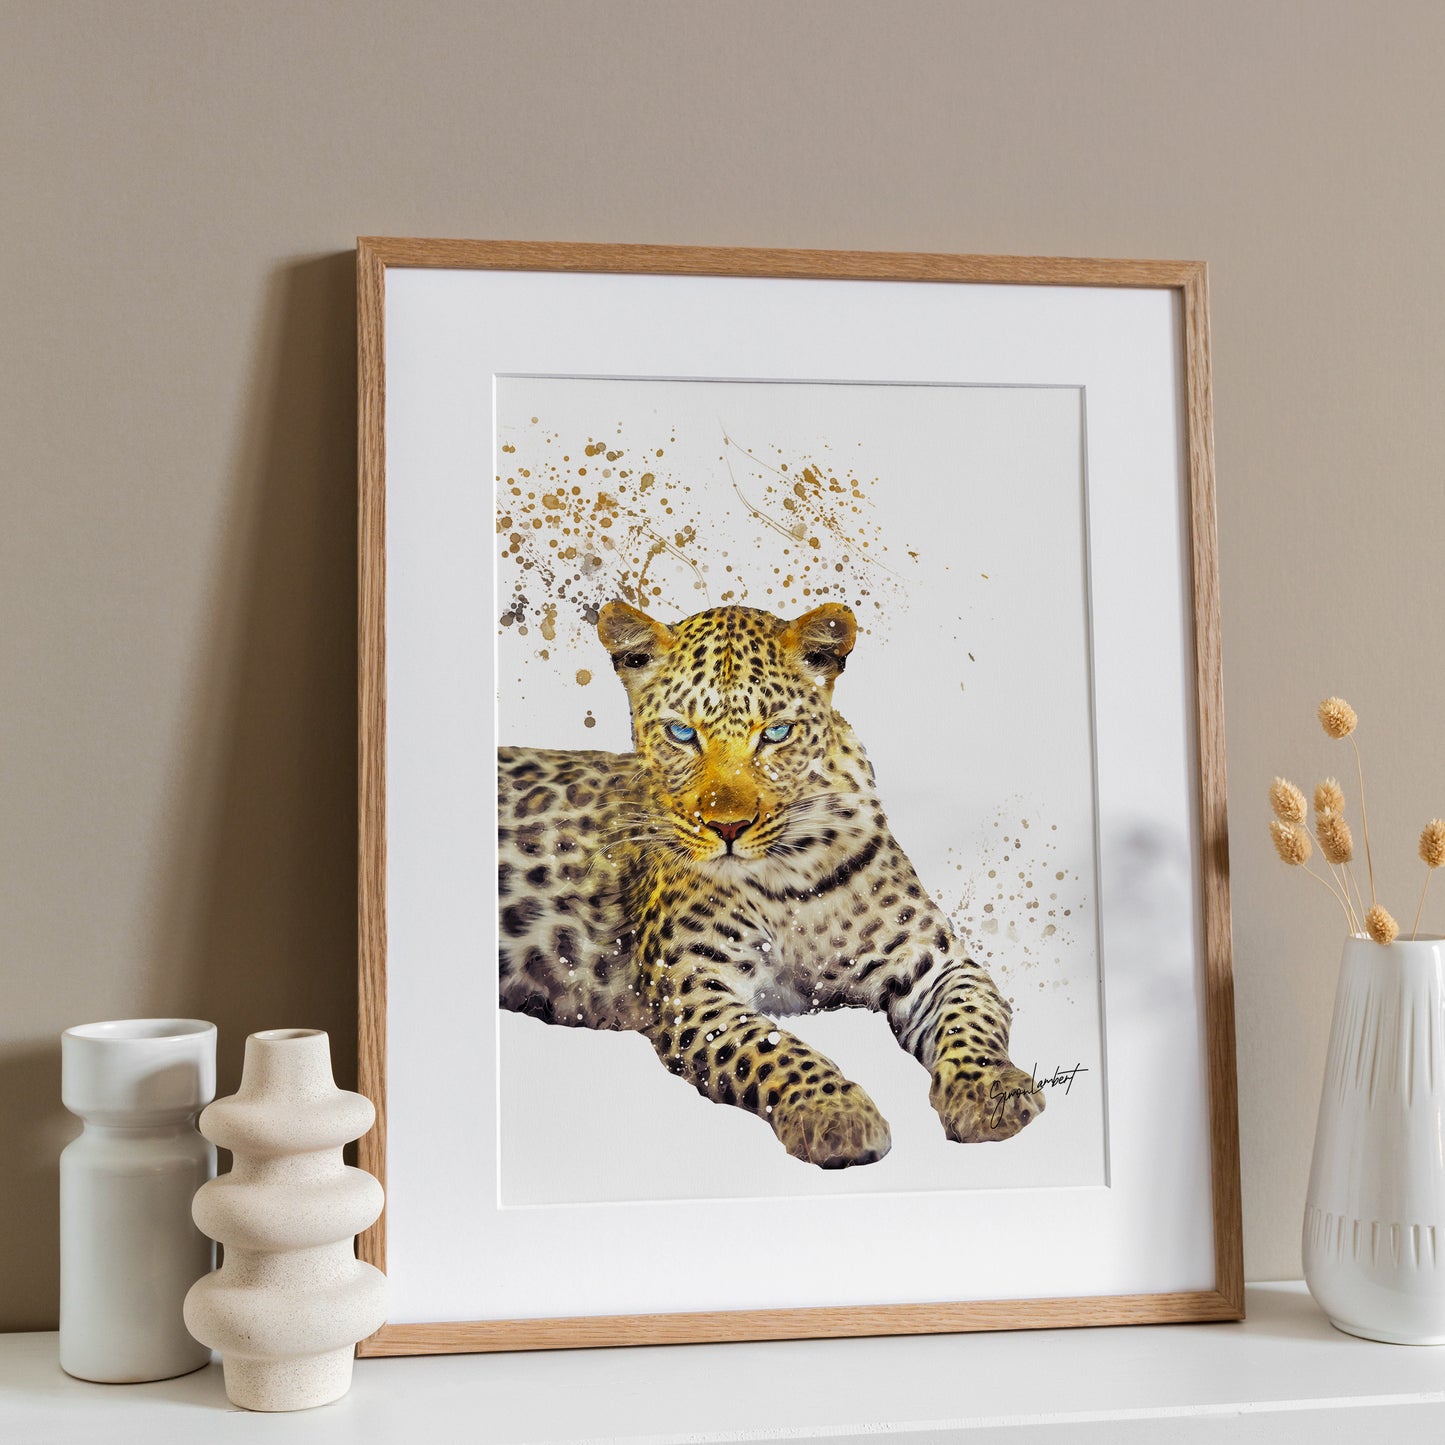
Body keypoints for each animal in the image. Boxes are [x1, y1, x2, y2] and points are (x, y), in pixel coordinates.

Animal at [497, 599, 1043, 1168]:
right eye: (682, 734)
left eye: (777, 734)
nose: (728, 828)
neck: (790, 876)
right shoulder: (692, 989)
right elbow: (770, 1048)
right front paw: (835, 1114)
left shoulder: (934, 961)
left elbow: (969, 1020)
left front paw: (991, 1094)